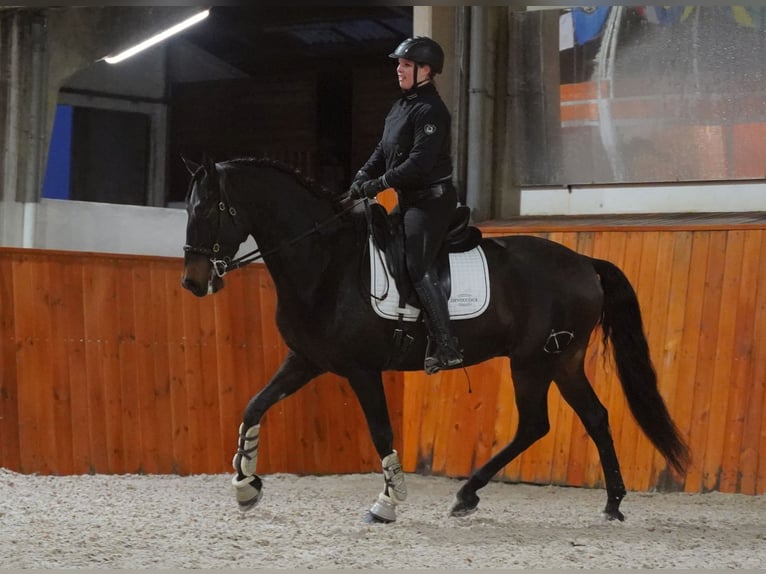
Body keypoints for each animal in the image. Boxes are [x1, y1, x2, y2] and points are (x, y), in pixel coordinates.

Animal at [178, 158, 688, 528]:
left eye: (204, 210)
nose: (192, 282)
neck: (325, 262)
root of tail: (584, 262)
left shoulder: (362, 369)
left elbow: (381, 432)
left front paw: (387, 504)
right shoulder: (306, 359)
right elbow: (254, 406)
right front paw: (245, 486)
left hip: (533, 362)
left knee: (536, 424)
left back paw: (469, 493)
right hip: (562, 361)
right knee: (591, 418)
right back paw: (609, 502)